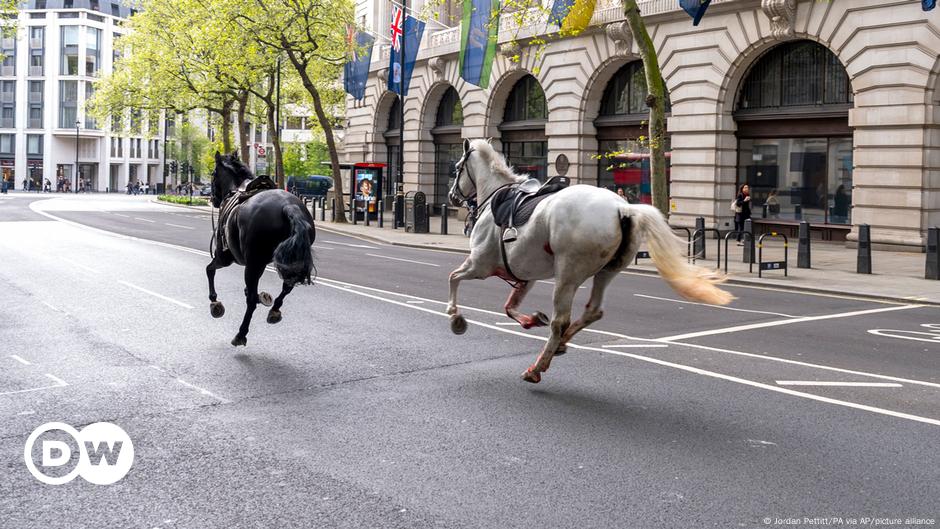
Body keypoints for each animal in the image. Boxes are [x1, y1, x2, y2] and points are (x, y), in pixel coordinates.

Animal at [207, 151, 316, 344]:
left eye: (213, 174)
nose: (213, 200)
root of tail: (289, 206)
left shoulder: (224, 257)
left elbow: (209, 270)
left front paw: (214, 302)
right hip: (287, 261)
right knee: (287, 286)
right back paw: (274, 310)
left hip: (251, 264)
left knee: (251, 301)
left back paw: (241, 334)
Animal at [448, 138, 736, 382]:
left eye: (457, 168)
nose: (452, 197)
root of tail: (623, 207)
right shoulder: (525, 275)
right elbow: (509, 306)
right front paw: (531, 319)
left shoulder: (480, 264)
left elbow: (454, 277)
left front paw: (455, 317)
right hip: (607, 271)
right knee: (592, 311)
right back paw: (561, 344)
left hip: (567, 274)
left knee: (560, 321)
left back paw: (538, 366)